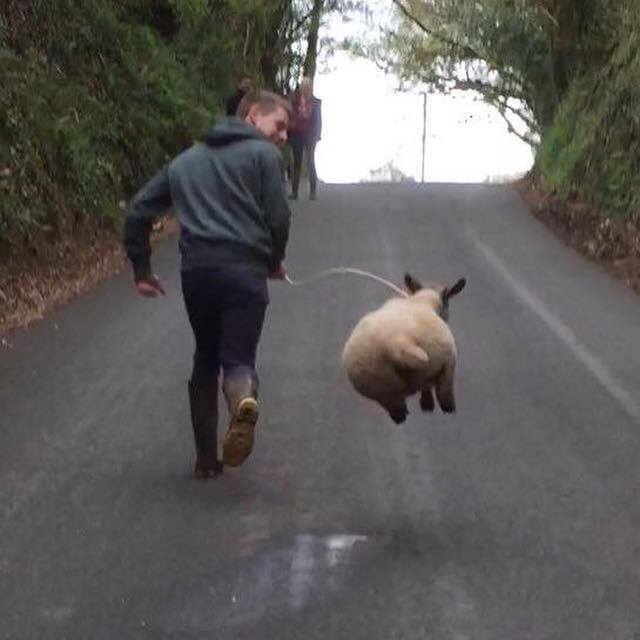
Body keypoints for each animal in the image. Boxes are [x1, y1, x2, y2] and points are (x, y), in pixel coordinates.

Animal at [341, 273, 466, 424]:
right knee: (443, 396)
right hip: (440, 363)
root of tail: (395, 343)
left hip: (382, 387)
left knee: (397, 411)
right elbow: (440, 392)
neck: (422, 300)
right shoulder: (448, 366)